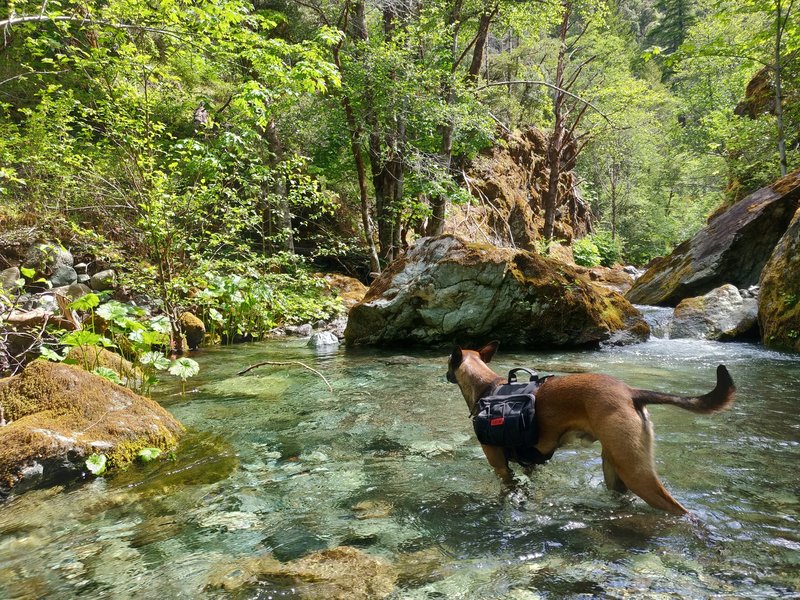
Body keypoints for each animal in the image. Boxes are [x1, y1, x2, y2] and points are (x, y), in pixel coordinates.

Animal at [446, 340, 736, 512]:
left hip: (635, 472)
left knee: (678, 510)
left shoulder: (500, 466)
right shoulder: (530, 465)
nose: (446, 375)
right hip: (615, 470)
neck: (487, 387)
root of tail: (631, 392)